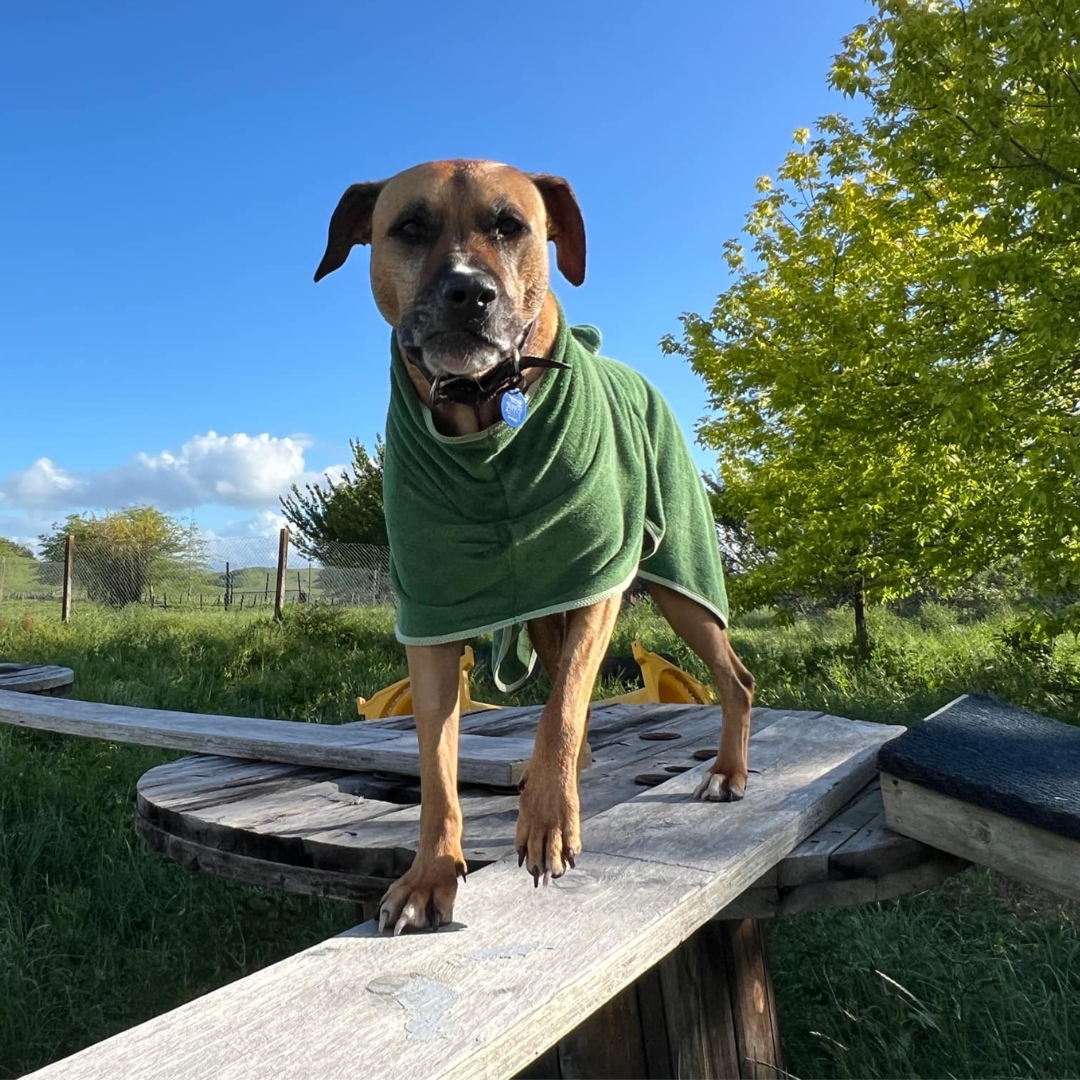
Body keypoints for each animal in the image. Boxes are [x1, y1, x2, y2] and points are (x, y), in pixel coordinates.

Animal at [313, 156, 751, 933]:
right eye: (410, 227)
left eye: (510, 226)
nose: (469, 292)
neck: (485, 416)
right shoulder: (430, 614)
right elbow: (438, 768)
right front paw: (429, 876)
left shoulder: (598, 580)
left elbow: (562, 711)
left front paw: (547, 822)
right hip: (552, 616)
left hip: (681, 591)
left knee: (732, 679)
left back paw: (726, 773)